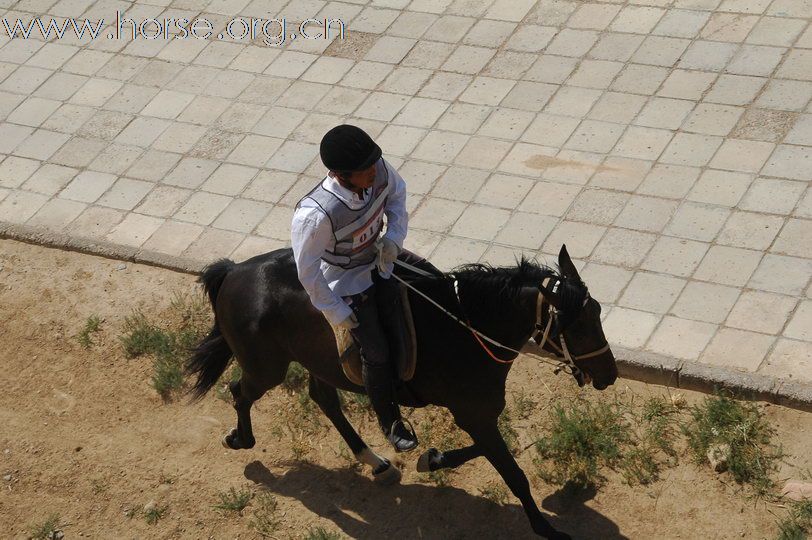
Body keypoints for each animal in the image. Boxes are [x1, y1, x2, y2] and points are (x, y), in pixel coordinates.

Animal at [186, 245, 616, 540]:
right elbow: (514, 473)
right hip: (267, 368)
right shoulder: (475, 414)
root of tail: (235, 271)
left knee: (323, 397)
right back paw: (239, 438)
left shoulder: (479, 415)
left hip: (318, 361)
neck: (466, 328)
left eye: (598, 313)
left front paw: (433, 458)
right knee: (240, 390)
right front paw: (548, 529)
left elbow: (479, 453)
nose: (610, 375)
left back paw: (376, 462)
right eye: (578, 327)